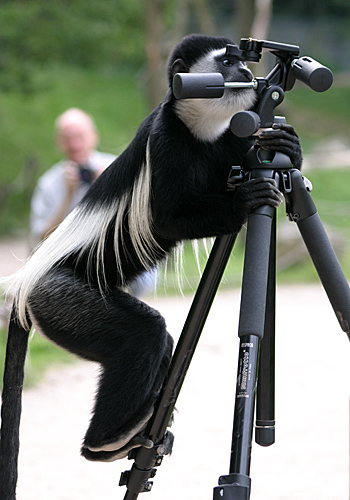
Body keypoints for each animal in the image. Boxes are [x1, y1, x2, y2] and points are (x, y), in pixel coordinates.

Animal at [0, 33, 300, 498]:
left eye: (240, 62)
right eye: (226, 62)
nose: (247, 73)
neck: (198, 128)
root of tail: (22, 286)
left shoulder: (232, 143)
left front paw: (287, 146)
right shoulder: (166, 140)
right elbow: (167, 220)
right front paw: (245, 201)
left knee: (160, 344)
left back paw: (145, 430)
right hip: (61, 299)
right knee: (144, 335)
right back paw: (109, 440)